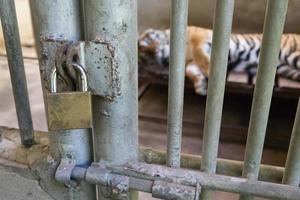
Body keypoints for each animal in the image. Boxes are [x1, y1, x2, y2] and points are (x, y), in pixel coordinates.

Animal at [139, 26, 300, 95]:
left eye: (148, 41)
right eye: (145, 56)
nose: (154, 51)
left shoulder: (199, 37)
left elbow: (199, 54)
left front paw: (209, 71)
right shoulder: (190, 62)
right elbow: (190, 70)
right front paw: (200, 86)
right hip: (288, 68)